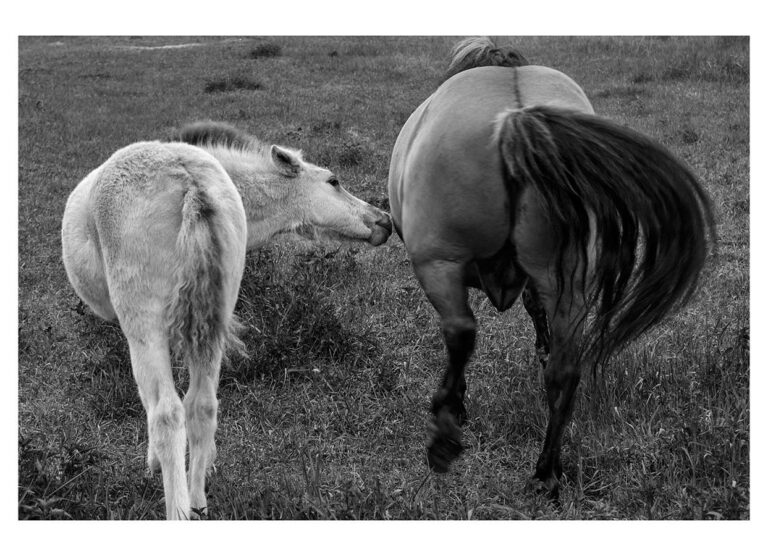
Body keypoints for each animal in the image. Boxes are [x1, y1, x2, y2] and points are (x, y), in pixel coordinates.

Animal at [61, 121, 392, 519]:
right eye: (334, 181)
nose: (385, 221)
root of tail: (188, 179)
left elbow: (147, 398)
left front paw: (154, 462)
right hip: (213, 321)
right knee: (202, 404)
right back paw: (198, 498)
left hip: (144, 323)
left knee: (168, 412)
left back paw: (180, 507)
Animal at [387, 37, 715, 496]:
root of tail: (517, 119)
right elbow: (536, 313)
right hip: (570, 279)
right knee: (565, 369)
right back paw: (547, 472)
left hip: (438, 263)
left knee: (461, 333)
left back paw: (445, 432)